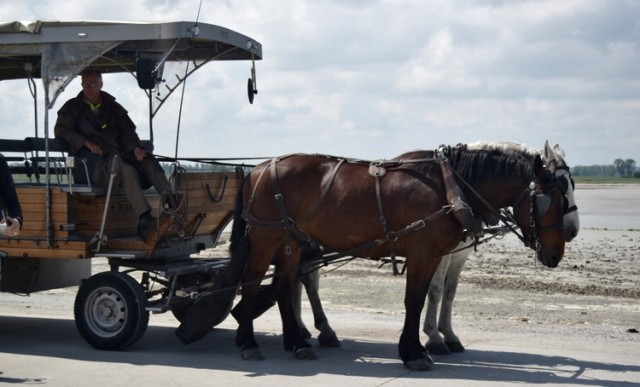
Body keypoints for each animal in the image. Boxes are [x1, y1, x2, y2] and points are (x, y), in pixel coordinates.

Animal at [228, 141, 568, 372]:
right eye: (550, 200)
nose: (555, 255)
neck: (449, 185)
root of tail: (257, 169)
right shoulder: (423, 253)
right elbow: (414, 300)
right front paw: (415, 352)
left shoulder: (434, 256)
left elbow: (425, 297)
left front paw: (419, 347)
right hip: (266, 236)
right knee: (252, 282)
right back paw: (249, 343)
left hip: (290, 239)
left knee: (284, 286)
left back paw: (297, 343)